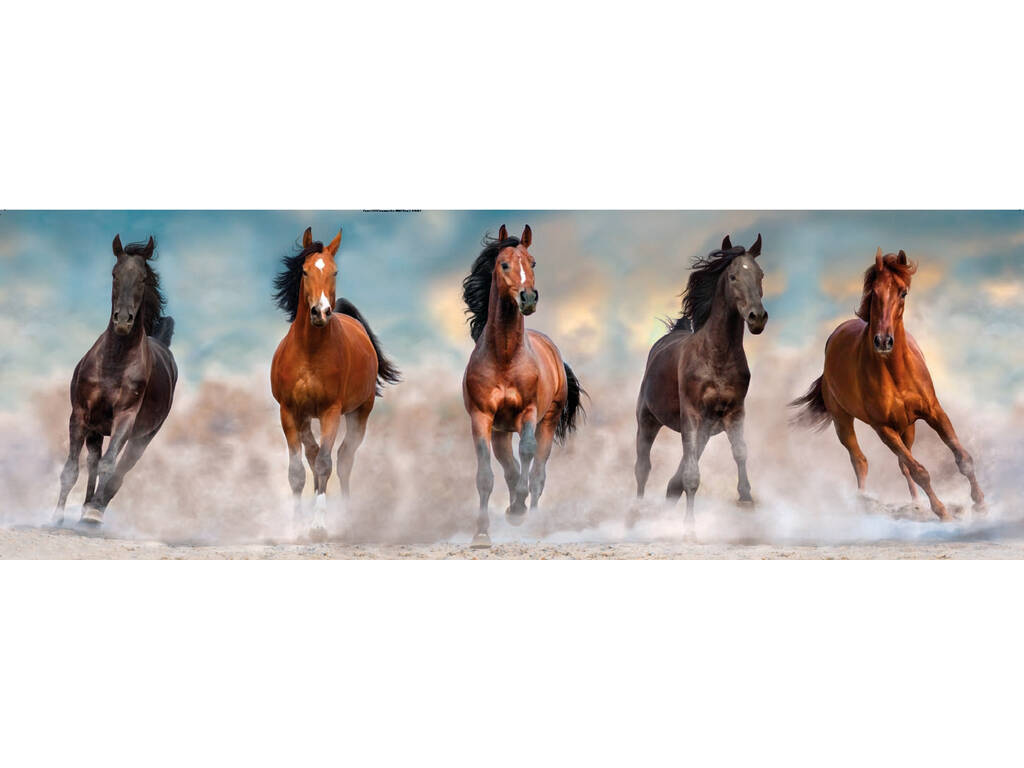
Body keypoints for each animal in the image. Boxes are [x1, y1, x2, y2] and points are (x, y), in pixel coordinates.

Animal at [54, 235, 177, 527]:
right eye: (114, 274)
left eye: (143, 278)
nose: (123, 319)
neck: (115, 361)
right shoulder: (80, 414)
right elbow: (71, 468)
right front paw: (57, 516)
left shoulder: (126, 418)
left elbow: (110, 466)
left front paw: (92, 513)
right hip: (96, 429)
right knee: (93, 462)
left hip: (142, 438)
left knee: (121, 470)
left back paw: (94, 509)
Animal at [270, 227, 400, 541]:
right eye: (304, 271)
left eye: (335, 271)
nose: (321, 312)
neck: (310, 351)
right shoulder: (288, 412)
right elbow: (297, 471)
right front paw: (296, 526)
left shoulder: (331, 411)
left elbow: (325, 464)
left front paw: (318, 525)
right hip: (306, 417)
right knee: (313, 454)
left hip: (359, 414)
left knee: (343, 460)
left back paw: (346, 519)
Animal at [461, 224, 585, 549]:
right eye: (504, 264)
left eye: (533, 262)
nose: (528, 298)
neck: (505, 357)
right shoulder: (481, 418)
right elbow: (486, 475)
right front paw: (481, 534)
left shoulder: (528, 412)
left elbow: (527, 454)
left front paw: (518, 510)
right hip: (501, 432)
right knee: (509, 468)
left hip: (548, 421)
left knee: (538, 473)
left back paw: (532, 521)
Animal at [634, 235, 768, 538]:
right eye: (732, 276)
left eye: (760, 275)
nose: (757, 318)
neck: (716, 356)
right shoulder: (692, 415)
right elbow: (691, 476)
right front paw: (689, 529)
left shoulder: (734, 411)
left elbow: (740, 451)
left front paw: (746, 501)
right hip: (648, 419)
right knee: (643, 468)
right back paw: (635, 517)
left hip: (705, 428)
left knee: (677, 473)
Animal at [790, 248, 985, 520]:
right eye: (874, 292)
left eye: (903, 292)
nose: (883, 341)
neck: (896, 372)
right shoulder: (883, 428)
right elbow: (920, 471)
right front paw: (942, 512)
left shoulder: (934, 412)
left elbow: (962, 458)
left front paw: (980, 503)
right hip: (843, 421)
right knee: (860, 461)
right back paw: (865, 502)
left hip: (908, 427)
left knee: (903, 464)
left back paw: (916, 504)